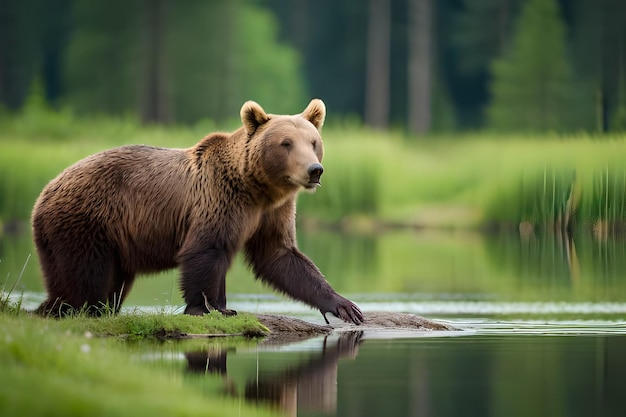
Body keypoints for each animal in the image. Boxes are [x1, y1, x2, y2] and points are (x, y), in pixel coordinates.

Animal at [31, 98, 364, 324]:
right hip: (87, 221)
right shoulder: (218, 199)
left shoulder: (272, 212)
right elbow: (206, 250)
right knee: (85, 278)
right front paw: (204, 307)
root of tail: (44, 193)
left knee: (105, 282)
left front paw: (346, 306)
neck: (256, 188)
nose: (314, 170)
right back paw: (77, 310)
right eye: (286, 143)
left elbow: (280, 256)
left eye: (314, 141)